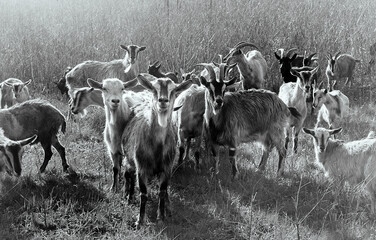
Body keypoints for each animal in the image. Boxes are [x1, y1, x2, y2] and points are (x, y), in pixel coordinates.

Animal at [120, 74, 191, 228]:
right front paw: (140, 221)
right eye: (153, 88)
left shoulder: (167, 168)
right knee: (129, 175)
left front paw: (161, 216)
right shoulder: (141, 167)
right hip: (129, 160)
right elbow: (144, 193)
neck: (157, 148)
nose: (163, 100)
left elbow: (162, 191)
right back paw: (128, 196)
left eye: (174, 90)